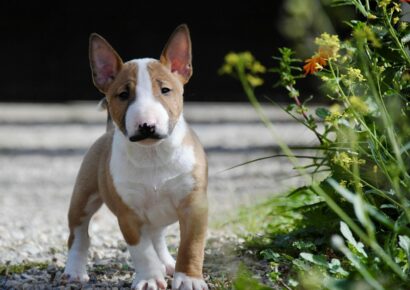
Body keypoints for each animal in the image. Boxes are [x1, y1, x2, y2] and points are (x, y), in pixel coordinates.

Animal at [63, 24, 208, 290]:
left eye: (165, 90)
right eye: (122, 95)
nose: (147, 125)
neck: (152, 154)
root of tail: (107, 131)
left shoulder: (194, 205)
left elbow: (191, 246)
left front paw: (189, 279)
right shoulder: (128, 214)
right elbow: (141, 250)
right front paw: (150, 278)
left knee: (158, 236)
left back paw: (168, 264)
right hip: (83, 197)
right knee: (79, 234)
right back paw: (74, 271)